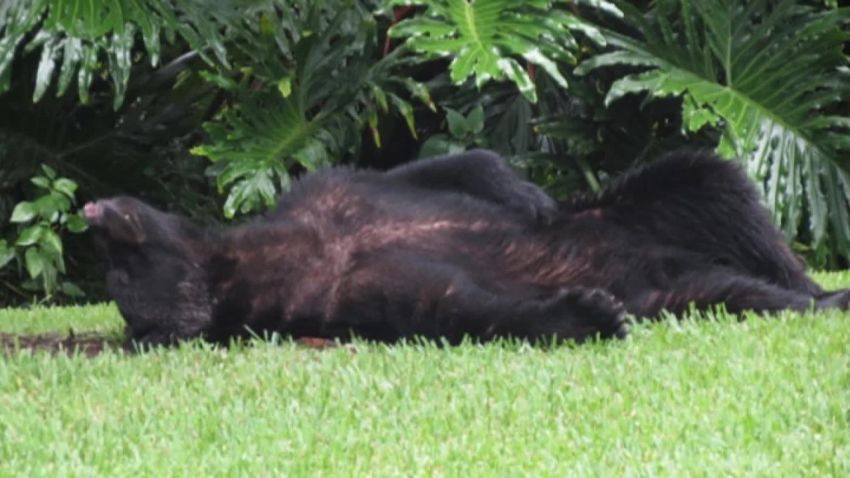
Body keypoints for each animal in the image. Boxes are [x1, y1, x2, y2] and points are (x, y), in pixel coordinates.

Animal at [83, 149, 844, 344]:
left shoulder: (328, 197)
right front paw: (587, 311)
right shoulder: (343, 289)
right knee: (734, 290)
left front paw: (528, 197)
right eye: (121, 275)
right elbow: (459, 305)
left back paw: (817, 284)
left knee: (714, 184)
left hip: (651, 214)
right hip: (678, 289)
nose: (92, 210)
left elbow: (444, 170)